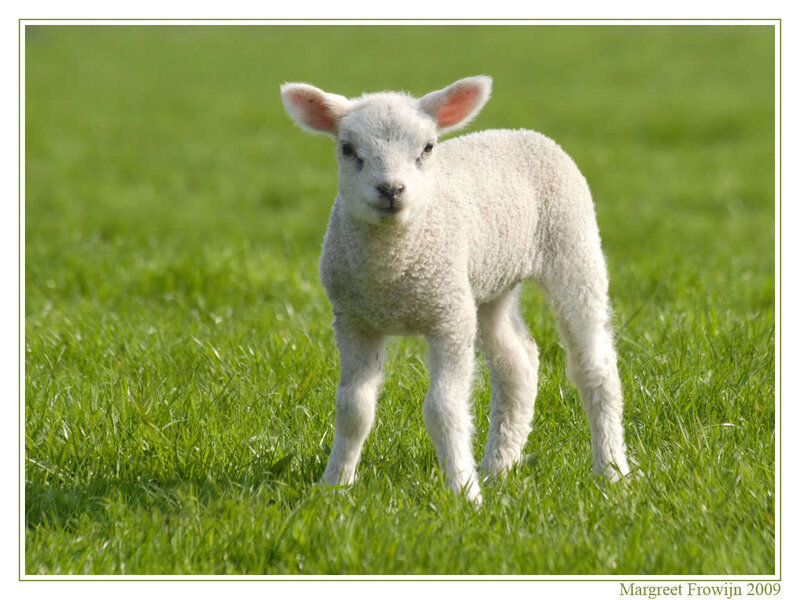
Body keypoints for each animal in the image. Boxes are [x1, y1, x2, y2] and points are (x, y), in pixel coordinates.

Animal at [280, 75, 631, 503]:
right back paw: (497, 469)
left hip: (573, 248)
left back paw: (612, 472)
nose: (391, 190)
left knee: (595, 366)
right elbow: (353, 407)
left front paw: (464, 492)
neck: (391, 272)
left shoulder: (448, 317)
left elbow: (443, 408)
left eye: (428, 147)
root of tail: (519, 132)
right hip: (488, 286)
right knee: (517, 364)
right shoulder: (353, 320)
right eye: (347, 148)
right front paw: (334, 486)